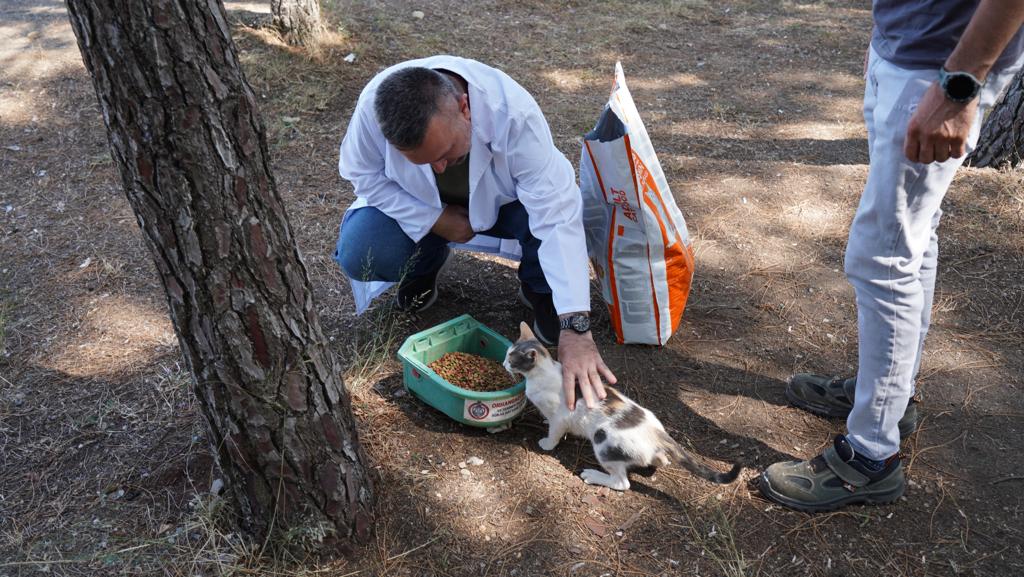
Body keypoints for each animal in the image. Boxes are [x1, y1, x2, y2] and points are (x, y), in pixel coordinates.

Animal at [505, 323, 741, 489]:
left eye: (511, 359)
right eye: (507, 354)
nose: (504, 363)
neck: (539, 376)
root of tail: (657, 433)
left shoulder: (561, 418)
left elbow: (554, 433)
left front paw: (546, 443)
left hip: (603, 440)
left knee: (622, 483)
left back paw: (593, 475)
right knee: (662, 459)